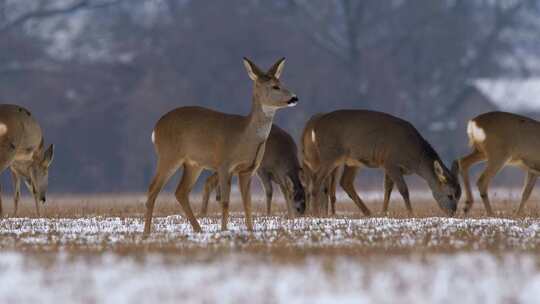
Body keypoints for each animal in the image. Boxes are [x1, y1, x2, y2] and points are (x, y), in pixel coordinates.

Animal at [143, 58, 300, 236]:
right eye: (275, 86)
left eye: (281, 82)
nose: (294, 98)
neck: (245, 138)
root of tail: (156, 128)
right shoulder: (225, 164)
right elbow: (225, 201)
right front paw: (224, 230)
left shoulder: (248, 170)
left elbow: (247, 203)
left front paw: (250, 230)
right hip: (169, 155)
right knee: (153, 188)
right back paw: (147, 232)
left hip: (193, 164)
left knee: (181, 192)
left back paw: (198, 229)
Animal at [300, 109, 460, 216]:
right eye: (450, 195)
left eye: (459, 195)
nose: (452, 212)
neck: (415, 158)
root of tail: (315, 126)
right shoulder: (391, 162)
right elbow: (403, 190)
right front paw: (411, 213)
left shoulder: (388, 165)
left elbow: (387, 189)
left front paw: (383, 212)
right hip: (330, 154)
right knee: (316, 179)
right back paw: (315, 213)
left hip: (350, 161)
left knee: (345, 182)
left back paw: (368, 213)